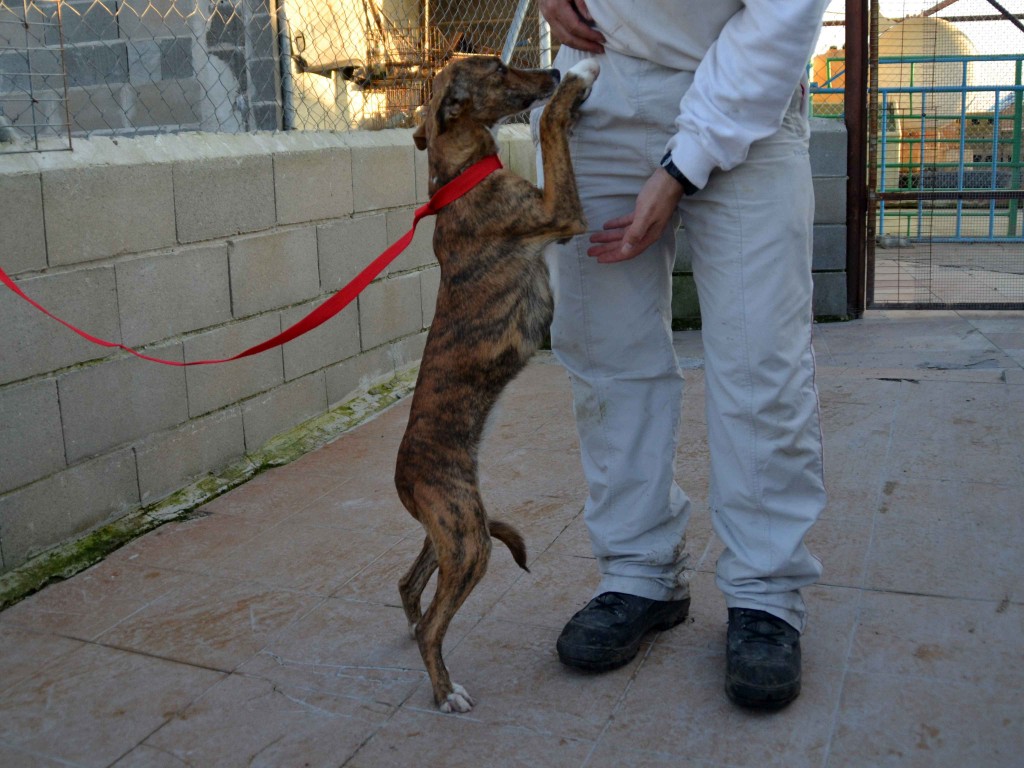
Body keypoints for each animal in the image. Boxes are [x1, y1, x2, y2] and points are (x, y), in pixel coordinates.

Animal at [391, 55, 598, 716]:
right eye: (501, 68)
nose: (553, 66)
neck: (459, 178)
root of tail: (402, 477)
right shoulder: (561, 214)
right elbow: (552, 127)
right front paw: (577, 81)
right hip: (468, 541)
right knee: (434, 623)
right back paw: (445, 691)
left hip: (453, 529)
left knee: (410, 585)